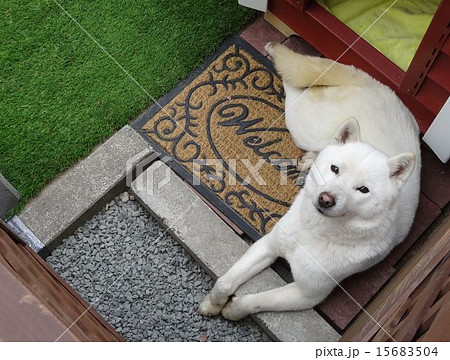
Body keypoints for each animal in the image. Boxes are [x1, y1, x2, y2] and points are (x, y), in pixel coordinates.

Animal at [199, 42, 420, 320]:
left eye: (363, 190)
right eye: (335, 169)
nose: (326, 199)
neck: (314, 231)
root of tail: (374, 84)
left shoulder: (308, 294)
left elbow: (256, 300)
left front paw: (231, 310)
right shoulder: (268, 244)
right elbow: (226, 280)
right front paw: (213, 302)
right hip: (302, 124)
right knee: (295, 85)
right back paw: (274, 50)